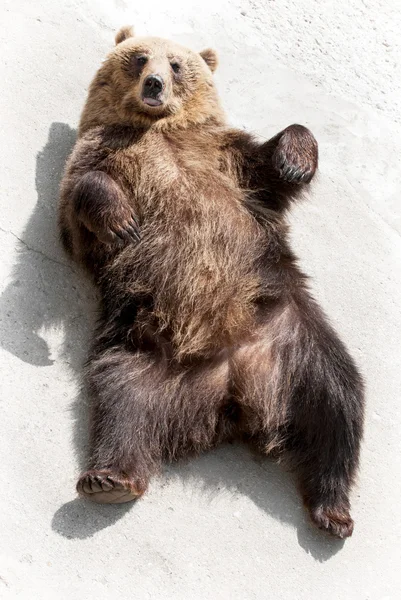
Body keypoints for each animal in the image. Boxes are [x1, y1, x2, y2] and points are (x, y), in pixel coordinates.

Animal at [58, 25, 362, 540]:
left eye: (176, 64)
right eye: (140, 57)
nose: (155, 83)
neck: (158, 129)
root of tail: (237, 390)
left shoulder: (226, 157)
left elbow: (272, 165)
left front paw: (297, 159)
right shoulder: (99, 156)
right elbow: (81, 196)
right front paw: (121, 221)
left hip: (293, 333)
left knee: (339, 401)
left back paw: (334, 509)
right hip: (144, 349)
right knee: (123, 401)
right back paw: (109, 477)